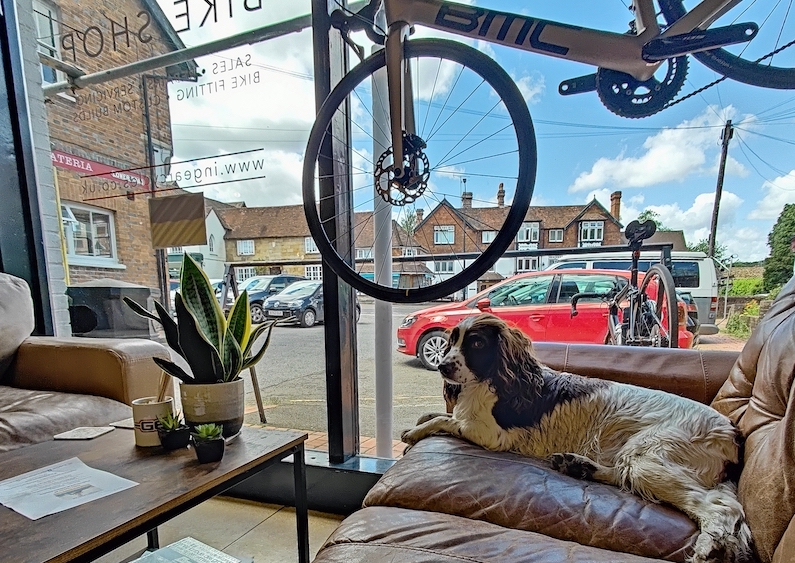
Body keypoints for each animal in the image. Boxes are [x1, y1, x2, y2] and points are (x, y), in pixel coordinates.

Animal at [404, 316, 752, 560]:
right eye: (451, 341)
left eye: (475, 344)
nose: (442, 366)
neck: (495, 379)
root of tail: (732, 435)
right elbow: (440, 415)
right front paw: (420, 422)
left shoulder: (491, 435)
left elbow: (444, 420)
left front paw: (415, 431)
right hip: (637, 457)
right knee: (623, 475)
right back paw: (578, 465)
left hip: (648, 455)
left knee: (721, 508)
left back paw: (710, 547)